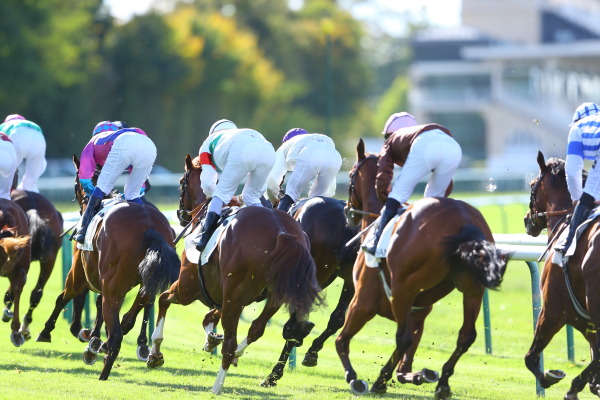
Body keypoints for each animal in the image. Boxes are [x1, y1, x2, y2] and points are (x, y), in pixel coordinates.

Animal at [35, 155, 179, 380]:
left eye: (75, 183)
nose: (81, 206)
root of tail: (150, 227)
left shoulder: (78, 274)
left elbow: (63, 297)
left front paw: (47, 331)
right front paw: (92, 341)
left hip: (112, 287)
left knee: (116, 333)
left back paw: (104, 370)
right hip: (140, 281)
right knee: (136, 309)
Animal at [147, 153, 322, 394]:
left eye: (182, 182)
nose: (181, 215)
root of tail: (281, 232)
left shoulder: (188, 288)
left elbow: (164, 300)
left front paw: (155, 353)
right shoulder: (226, 297)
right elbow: (210, 318)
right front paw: (212, 338)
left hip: (229, 294)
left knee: (231, 342)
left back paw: (217, 386)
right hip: (272, 297)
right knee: (256, 328)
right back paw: (237, 356)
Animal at [336, 139, 508, 398]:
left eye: (350, 174)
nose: (348, 212)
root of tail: (464, 220)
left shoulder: (363, 302)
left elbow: (342, 340)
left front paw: (354, 377)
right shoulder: (418, 311)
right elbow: (404, 360)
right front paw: (416, 374)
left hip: (403, 289)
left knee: (403, 338)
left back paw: (381, 381)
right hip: (473, 290)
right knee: (465, 336)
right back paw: (442, 382)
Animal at [524, 151, 600, 400]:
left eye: (532, 184)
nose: (526, 219)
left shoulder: (553, 310)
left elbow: (530, 358)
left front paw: (551, 377)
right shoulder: (586, 321)